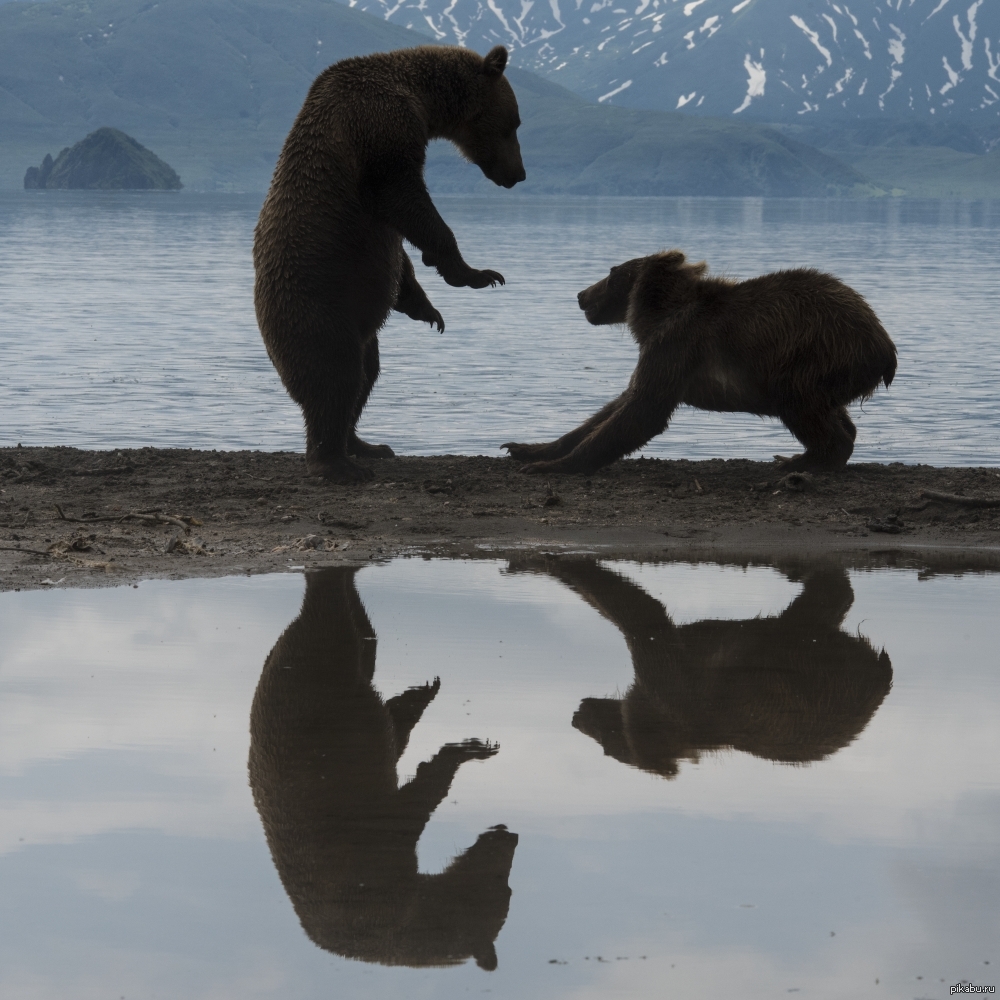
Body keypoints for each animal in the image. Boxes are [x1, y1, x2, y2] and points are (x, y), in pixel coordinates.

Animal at [254, 45, 528, 482]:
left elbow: (399, 255)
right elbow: (404, 196)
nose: (518, 173)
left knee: (366, 376)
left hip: (358, 325)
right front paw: (476, 273)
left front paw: (427, 308)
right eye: (514, 122)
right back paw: (335, 462)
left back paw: (366, 445)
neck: (422, 98)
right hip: (314, 304)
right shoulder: (379, 127)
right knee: (334, 375)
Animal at [508, 252, 900, 474]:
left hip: (816, 351)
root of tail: (884, 343)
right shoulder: (660, 355)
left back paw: (803, 464)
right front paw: (529, 448)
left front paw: (549, 467)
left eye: (611, 272)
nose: (580, 295)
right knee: (829, 410)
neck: (653, 317)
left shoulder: (677, 346)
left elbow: (643, 411)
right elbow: (617, 405)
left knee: (797, 399)